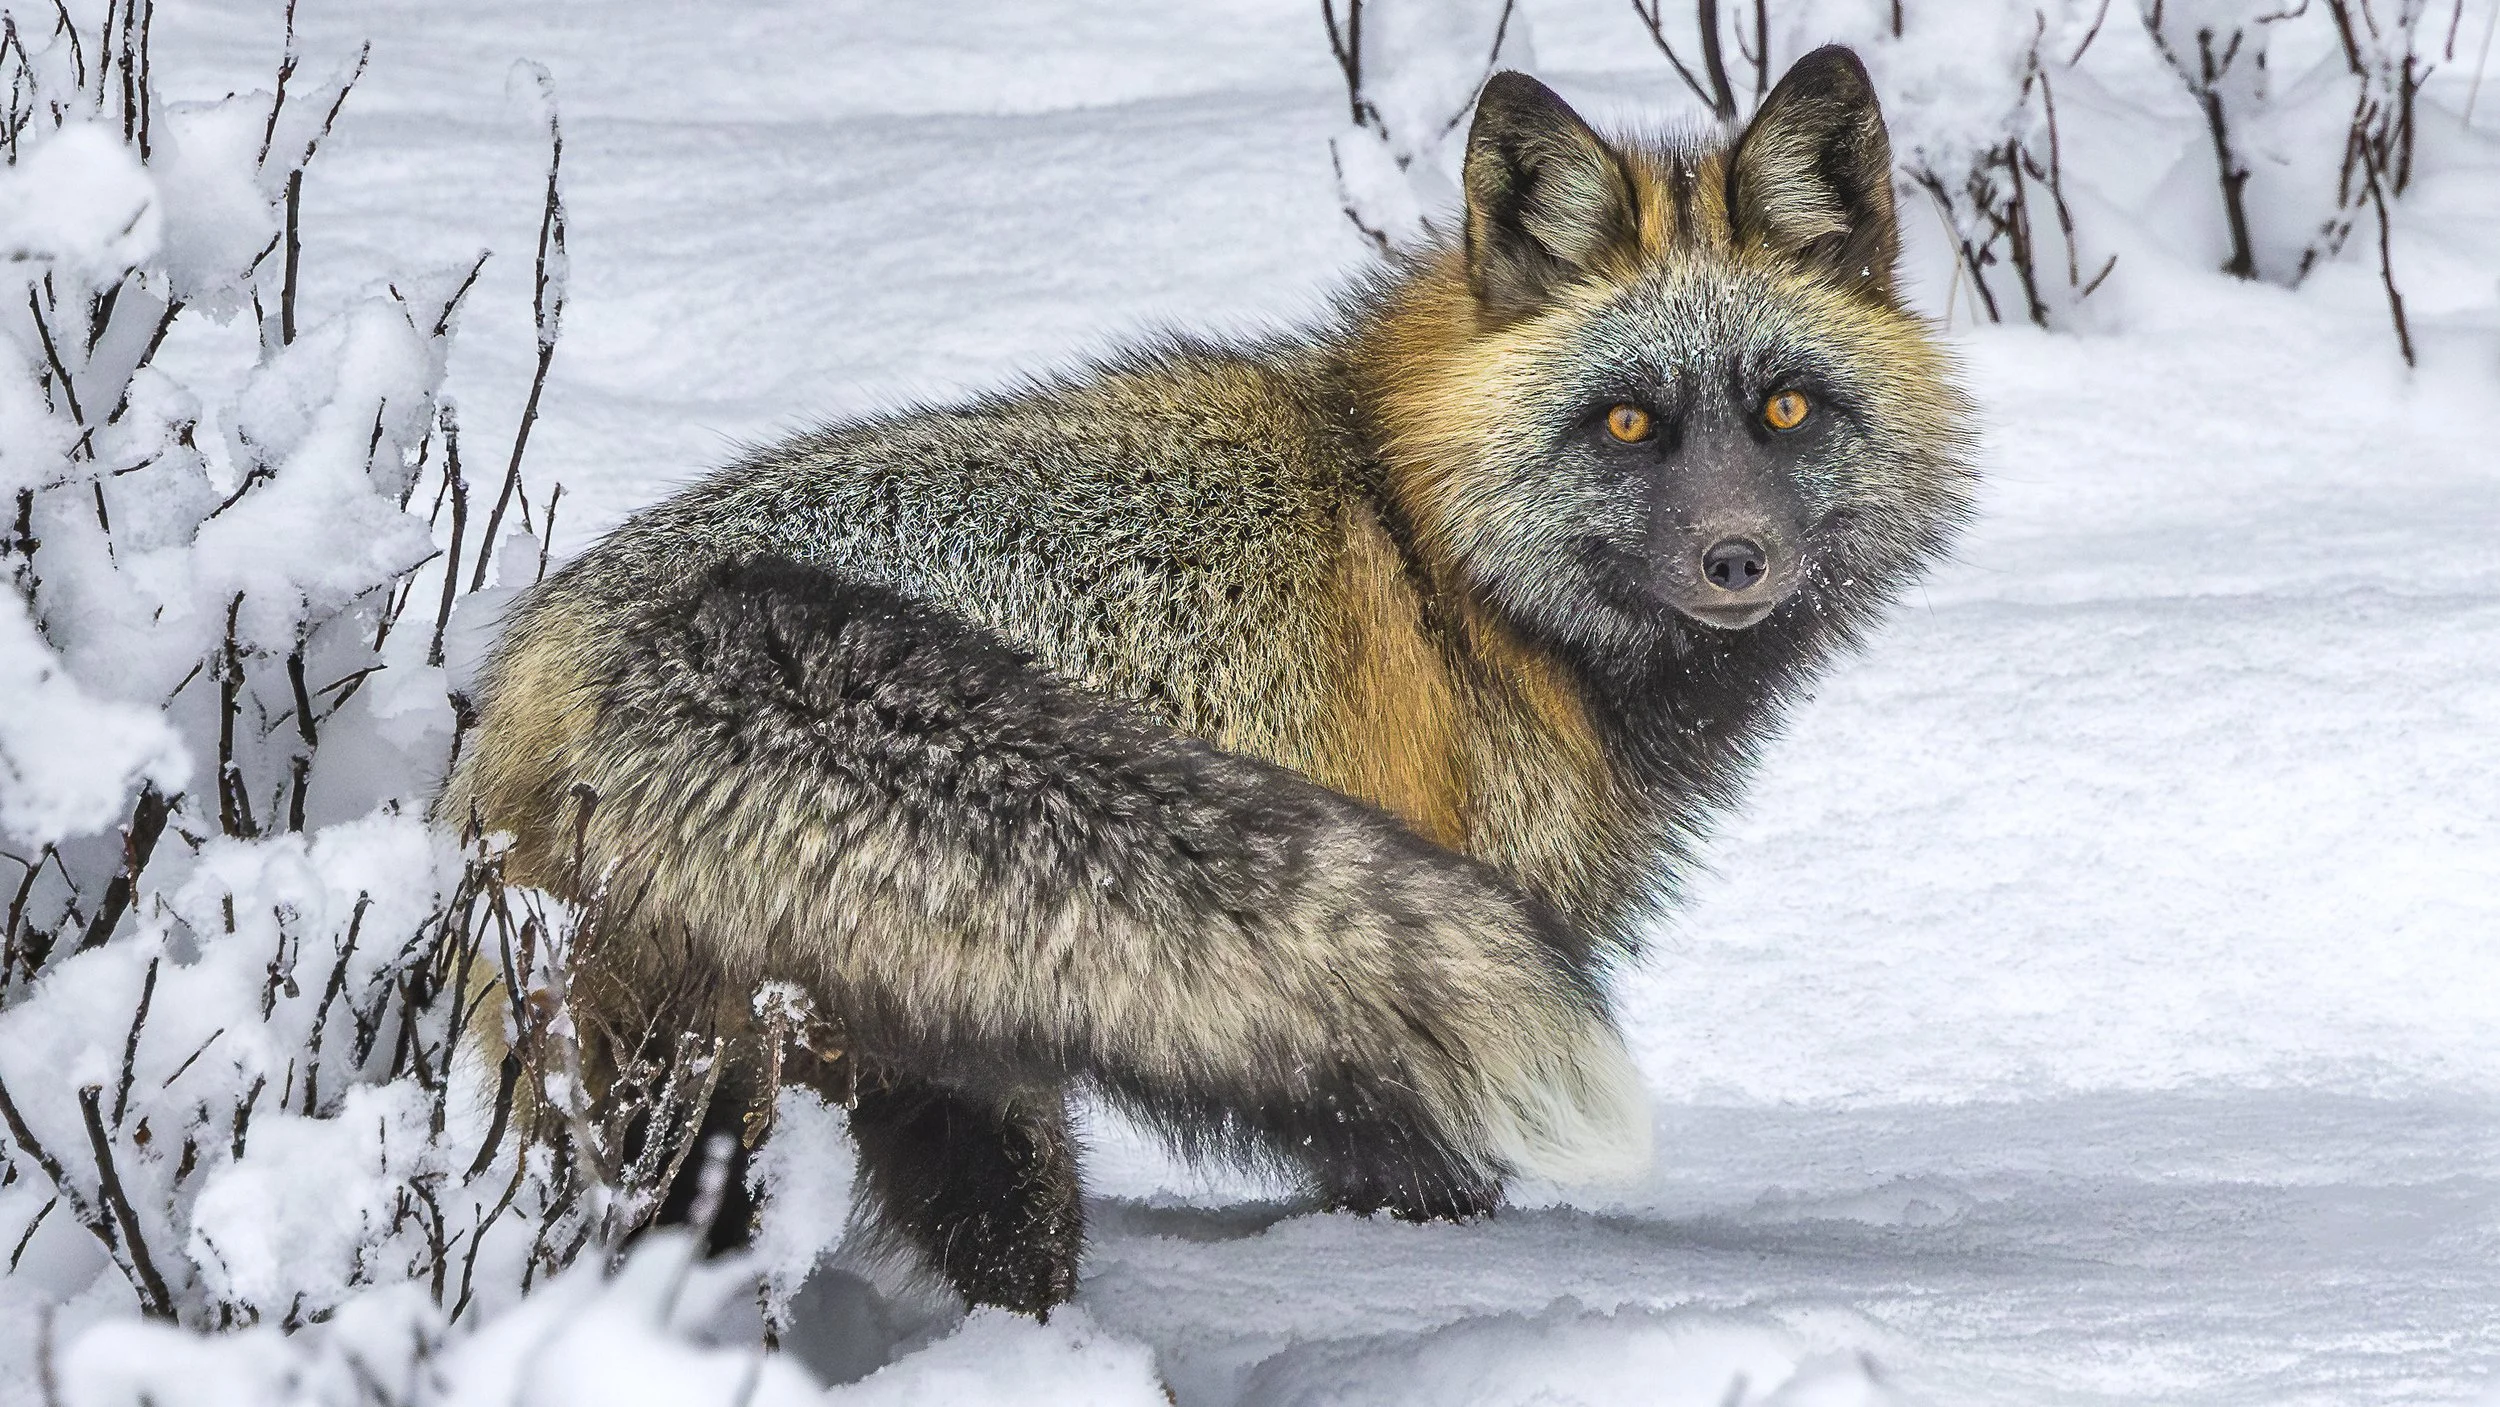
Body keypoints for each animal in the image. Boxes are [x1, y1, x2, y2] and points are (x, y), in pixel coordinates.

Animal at [438, 46, 1975, 1317]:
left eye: (1784, 408)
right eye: (1627, 424)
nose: (1737, 558)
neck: (1424, 546)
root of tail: (621, 629)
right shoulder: (1403, 1025)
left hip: (729, 1104)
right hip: (978, 1115)